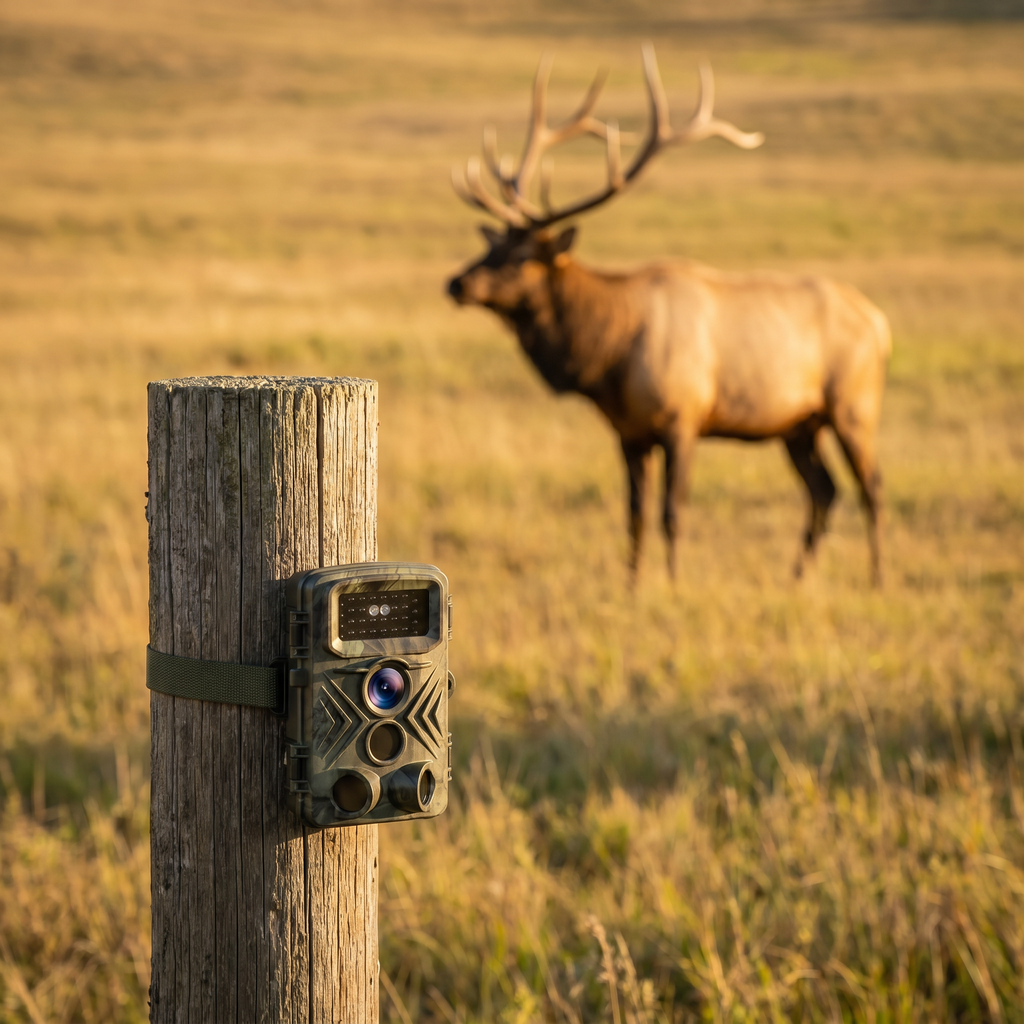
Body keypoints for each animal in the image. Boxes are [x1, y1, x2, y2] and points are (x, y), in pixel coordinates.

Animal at [446, 45, 891, 586]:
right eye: (492, 247)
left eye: (523, 256)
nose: (457, 283)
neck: (609, 359)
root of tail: (879, 323)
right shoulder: (629, 433)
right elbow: (634, 514)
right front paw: (632, 587)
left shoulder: (684, 417)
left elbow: (671, 513)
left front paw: (676, 585)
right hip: (798, 425)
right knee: (824, 490)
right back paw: (798, 577)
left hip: (854, 405)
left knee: (872, 486)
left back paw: (878, 577)